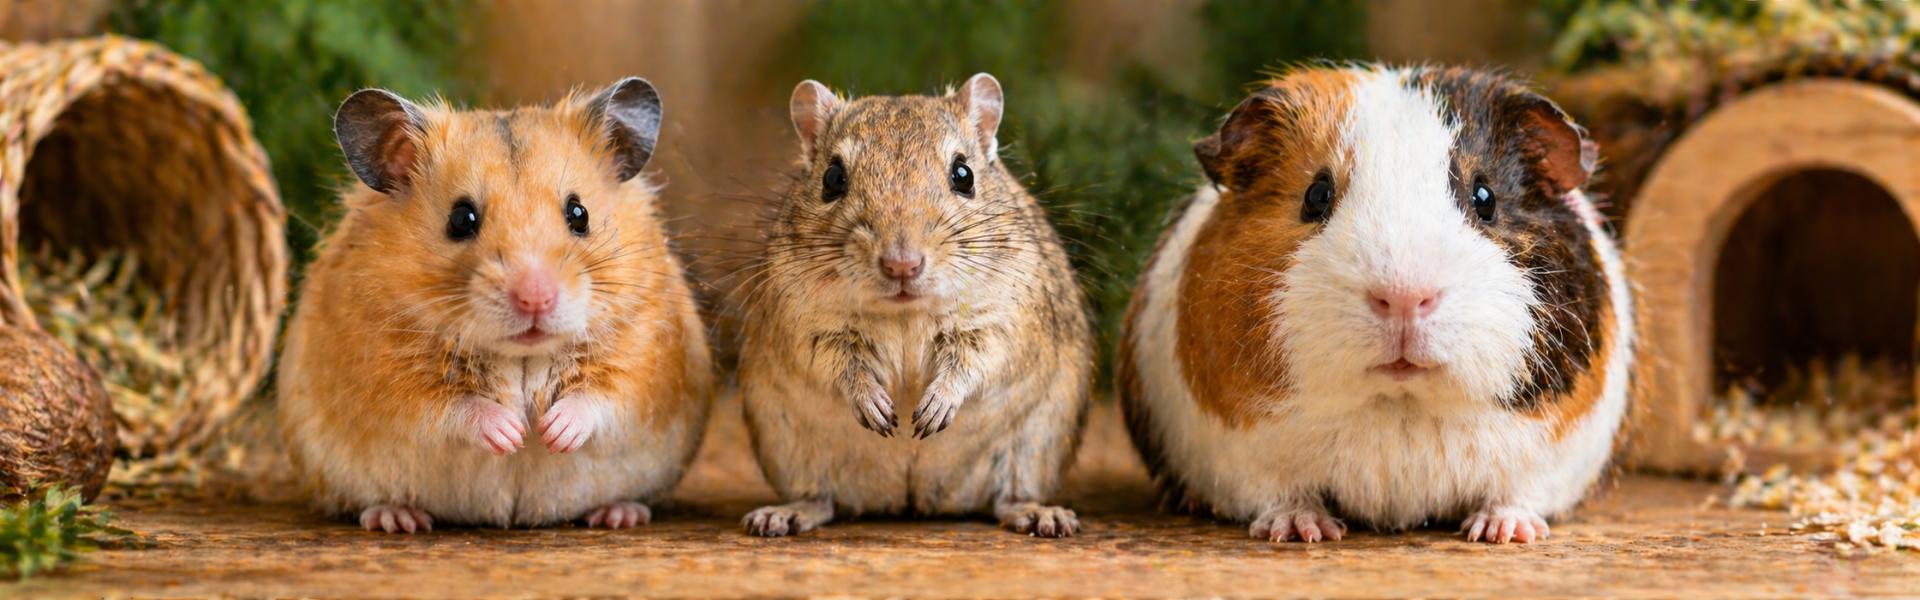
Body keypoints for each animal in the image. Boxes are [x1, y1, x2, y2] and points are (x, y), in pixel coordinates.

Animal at [278, 78, 713, 532]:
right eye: (461, 218)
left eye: (579, 213)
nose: (535, 297)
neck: (521, 353)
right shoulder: (389, 375)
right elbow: (455, 408)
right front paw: (513, 434)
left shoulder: (640, 357)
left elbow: (598, 397)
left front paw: (550, 432)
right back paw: (398, 518)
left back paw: (619, 514)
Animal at [737, 74, 1094, 537]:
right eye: (833, 178)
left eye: (964, 175)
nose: (901, 264)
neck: (904, 311)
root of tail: (911, 500)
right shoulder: (803, 324)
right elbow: (836, 362)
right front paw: (874, 406)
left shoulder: (1006, 321)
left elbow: (976, 359)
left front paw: (934, 409)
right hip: (793, 449)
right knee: (821, 498)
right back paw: (784, 514)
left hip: (1032, 448)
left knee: (1005, 499)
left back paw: (1039, 514)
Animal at [1118, 66, 1632, 544]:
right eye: (1316, 194)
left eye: (1484, 197)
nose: (1404, 296)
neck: (1397, 405)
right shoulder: (1242, 456)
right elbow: (1280, 494)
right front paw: (1302, 530)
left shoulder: (1549, 456)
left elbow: (1516, 494)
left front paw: (1505, 533)